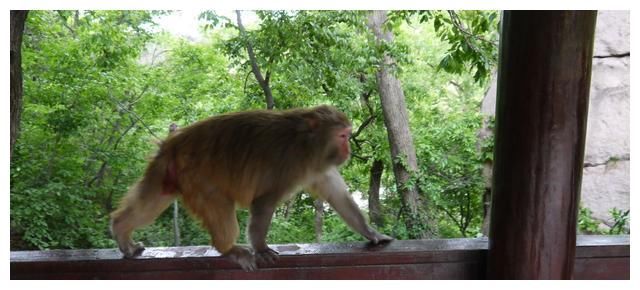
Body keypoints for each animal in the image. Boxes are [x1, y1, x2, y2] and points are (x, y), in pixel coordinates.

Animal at [110, 105, 390, 270]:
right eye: (342, 136)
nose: (348, 150)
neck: (305, 143)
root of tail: (172, 145)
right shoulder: (287, 165)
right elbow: (264, 202)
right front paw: (261, 247)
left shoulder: (318, 166)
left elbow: (338, 196)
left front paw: (371, 232)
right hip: (198, 178)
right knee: (219, 205)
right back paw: (228, 248)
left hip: (169, 175)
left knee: (152, 203)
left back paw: (121, 228)